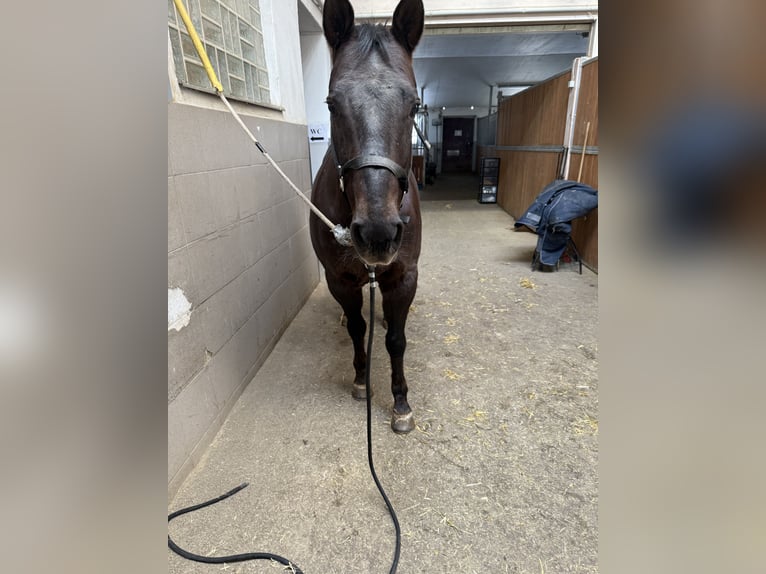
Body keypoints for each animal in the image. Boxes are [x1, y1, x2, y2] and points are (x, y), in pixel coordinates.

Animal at [309, 0, 424, 434]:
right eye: (331, 104)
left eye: (414, 105)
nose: (377, 233)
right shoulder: (339, 278)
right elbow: (359, 327)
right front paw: (361, 380)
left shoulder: (403, 276)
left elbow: (396, 340)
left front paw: (401, 403)